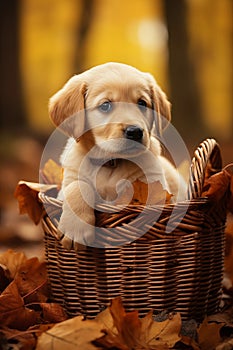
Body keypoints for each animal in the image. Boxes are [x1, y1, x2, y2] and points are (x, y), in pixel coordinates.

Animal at [48, 62, 186, 249]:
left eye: (142, 103)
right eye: (105, 105)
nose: (135, 132)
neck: (111, 162)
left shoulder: (154, 183)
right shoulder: (67, 182)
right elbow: (77, 186)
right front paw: (75, 229)